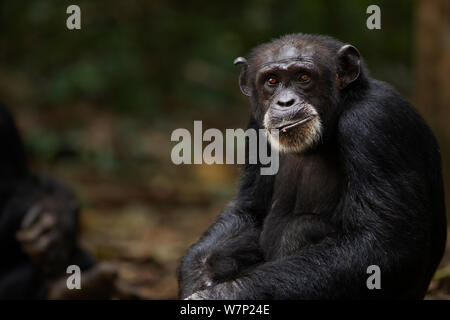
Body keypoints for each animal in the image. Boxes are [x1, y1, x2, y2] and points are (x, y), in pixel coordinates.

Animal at [178, 33, 448, 298]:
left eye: (304, 77)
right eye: (272, 80)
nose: (285, 102)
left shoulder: (374, 121)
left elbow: (382, 242)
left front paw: (221, 295)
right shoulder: (256, 126)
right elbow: (250, 210)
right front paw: (199, 276)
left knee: (300, 227)